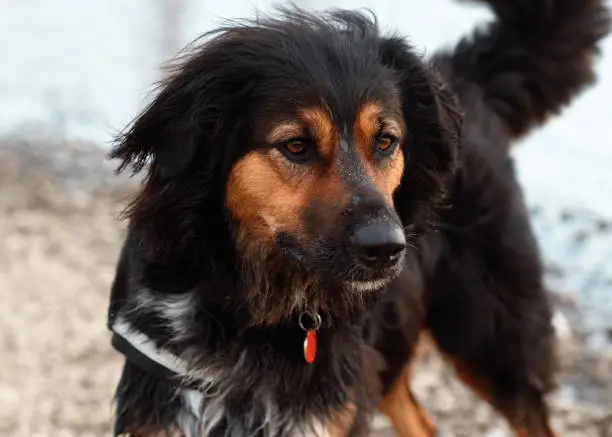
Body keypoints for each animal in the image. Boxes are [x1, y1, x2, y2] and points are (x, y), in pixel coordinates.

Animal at [107, 1, 608, 434]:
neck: (252, 314)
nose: (387, 249)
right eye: (296, 145)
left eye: (385, 141)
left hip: (488, 337)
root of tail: (463, 80)